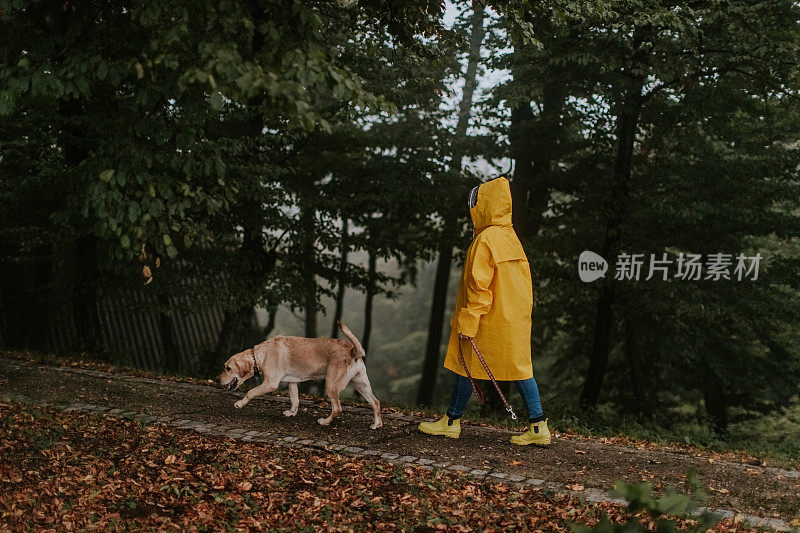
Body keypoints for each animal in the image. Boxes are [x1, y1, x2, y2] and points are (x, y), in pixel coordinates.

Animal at [217, 320, 382, 428]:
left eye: (228, 368)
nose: (217, 380)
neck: (259, 355)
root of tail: (353, 350)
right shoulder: (292, 382)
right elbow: (295, 400)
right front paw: (291, 413)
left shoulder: (270, 384)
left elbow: (250, 392)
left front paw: (240, 403)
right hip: (361, 385)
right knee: (376, 403)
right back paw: (377, 424)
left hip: (331, 385)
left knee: (337, 408)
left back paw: (325, 422)